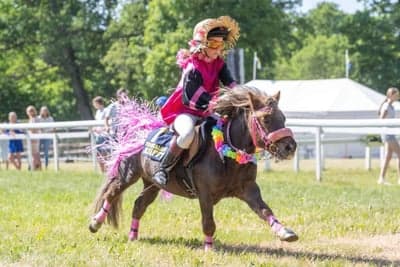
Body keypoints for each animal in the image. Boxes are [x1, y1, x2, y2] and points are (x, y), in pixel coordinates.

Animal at [90, 86, 296, 251]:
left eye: (283, 117)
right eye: (266, 119)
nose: (290, 147)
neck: (226, 152)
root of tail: (137, 128)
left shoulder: (249, 189)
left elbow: (264, 210)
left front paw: (284, 231)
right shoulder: (205, 194)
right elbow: (208, 222)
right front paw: (209, 248)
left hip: (152, 184)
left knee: (139, 204)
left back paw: (133, 236)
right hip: (128, 174)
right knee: (111, 193)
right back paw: (95, 222)